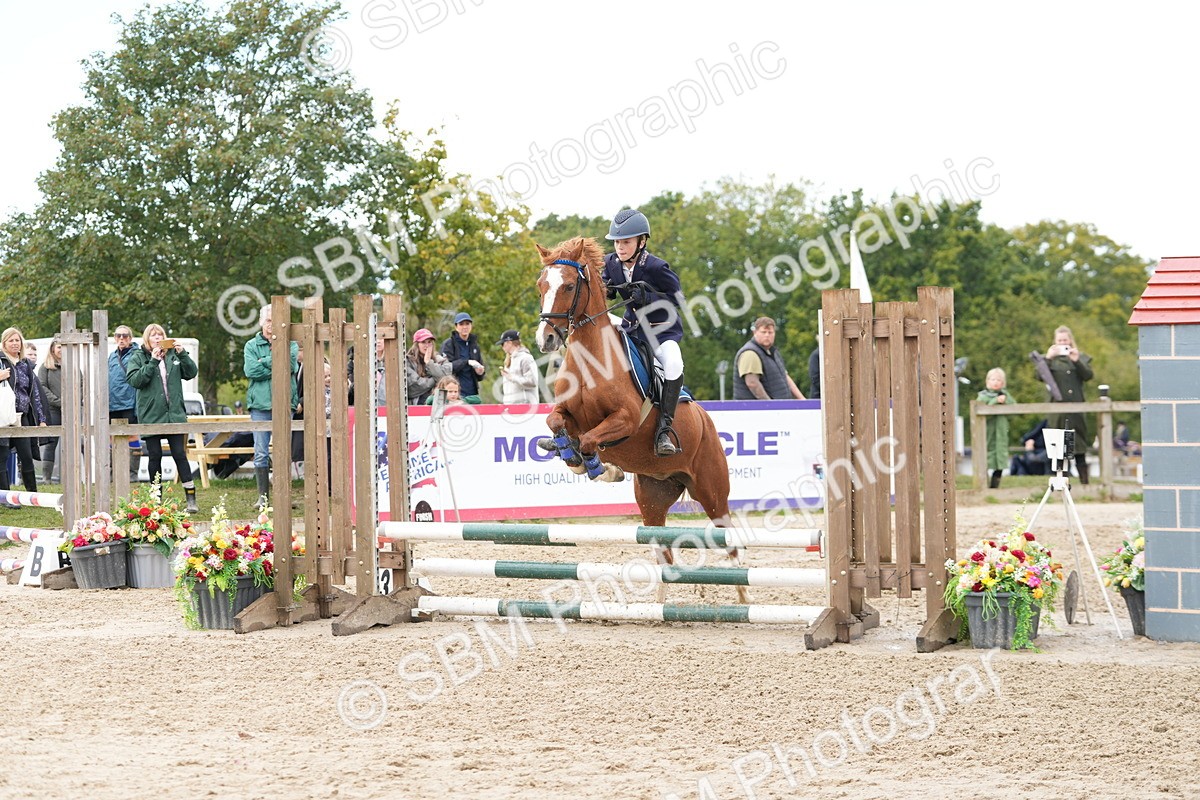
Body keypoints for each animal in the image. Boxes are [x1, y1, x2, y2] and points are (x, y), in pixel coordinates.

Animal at [534, 236, 747, 603]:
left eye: (570, 285)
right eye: (541, 285)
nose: (545, 339)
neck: (592, 359)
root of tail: (706, 421)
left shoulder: (625, 420)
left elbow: (590, 440)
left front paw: (600, 467)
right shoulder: (568, 415)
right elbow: (557, 424)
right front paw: (571, 456)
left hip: (712, 491)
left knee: (729, 545)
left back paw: (745, 597)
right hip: (652, 497)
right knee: (664, 555)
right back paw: (658, 608)